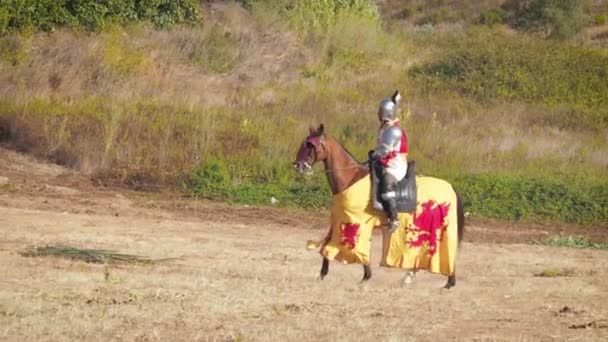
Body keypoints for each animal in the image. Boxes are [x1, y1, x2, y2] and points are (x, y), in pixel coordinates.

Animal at [294, 124, 466, 288]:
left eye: (310, 146)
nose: (298, 166)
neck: (351, 178)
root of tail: (451, 189)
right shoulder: (340, 222)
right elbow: (329, 244)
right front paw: (322, 275)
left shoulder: (355, 223)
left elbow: (349, 248)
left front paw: (365, 277)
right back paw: (411, 278)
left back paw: (448, 282)